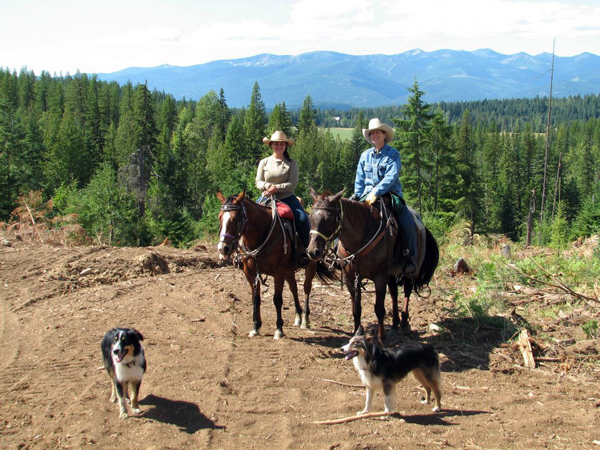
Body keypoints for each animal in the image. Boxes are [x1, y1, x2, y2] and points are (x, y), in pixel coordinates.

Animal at [217, 188, 338, 340]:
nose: (223, 248)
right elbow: (255, 298)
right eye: (220, 217)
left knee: (306, 288)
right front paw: (255, 327)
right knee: (293, 288)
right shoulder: (250, 272)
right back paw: (298, 316)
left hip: (310, 265)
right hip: (289, 270)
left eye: (236, 219)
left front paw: (279, 329)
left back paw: (305, 319)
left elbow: (277, 299)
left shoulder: (278, 272)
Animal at [308, 189, 438, 342]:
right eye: (310, 217)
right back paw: (395, 325)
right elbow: (356, 310)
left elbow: (379, 309)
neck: (358, 240)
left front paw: (381, 338)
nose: (313, 252)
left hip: (412, 270)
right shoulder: (350, 278)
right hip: (391, 273)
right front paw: (356, 334)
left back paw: (404, 323)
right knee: (394, 293)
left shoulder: (380, 277)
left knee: (407, 290)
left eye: (328, 218)